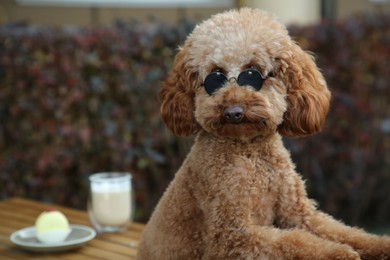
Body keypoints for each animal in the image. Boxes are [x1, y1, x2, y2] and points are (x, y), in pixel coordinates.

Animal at [136, 8, 390, 260]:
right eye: (215, 76)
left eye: (253, 72)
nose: (233, 112)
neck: (251, 153)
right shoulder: (233, 234)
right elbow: (294, 241)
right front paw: (337, 253)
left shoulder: (299, 213)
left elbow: (344, 231)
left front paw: (380, 245)